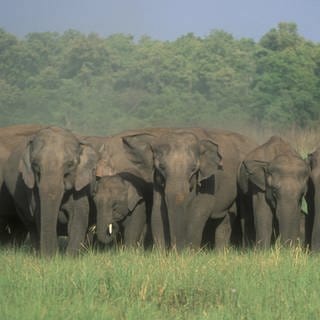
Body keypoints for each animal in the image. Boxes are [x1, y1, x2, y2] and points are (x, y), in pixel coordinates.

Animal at [1, 126, 99, 256]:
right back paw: (36, 252)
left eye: (70, 164)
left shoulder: (80, 187)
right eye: (35, 164)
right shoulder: (33, 191)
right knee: (30, 225)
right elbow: (39, 216)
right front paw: (50, 257)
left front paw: (70, 257)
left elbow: (78, 217)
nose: (54, 255)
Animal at [120, 127, 258, 250]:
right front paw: (161, 253)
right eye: (162, 167)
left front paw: (189, 253)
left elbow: (199, 213)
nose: (175, 249)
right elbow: (158, 212)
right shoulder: (157, 183)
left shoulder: (209, 182)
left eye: (193, 169)